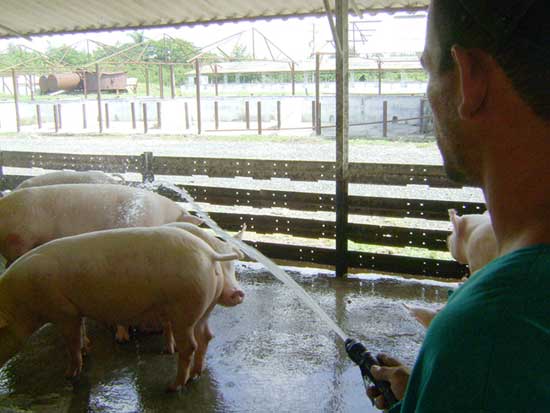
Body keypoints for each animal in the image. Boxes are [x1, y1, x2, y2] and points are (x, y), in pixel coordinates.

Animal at [0, 225, 246, 390]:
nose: (238, 294)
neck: (21, 302)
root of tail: (209, 254)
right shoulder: (75, 310)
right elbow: (81, 333)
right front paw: (87, 349)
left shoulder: (63, 311)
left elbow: (71, 343)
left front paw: (69, 375)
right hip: (204, 308)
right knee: (206, 336)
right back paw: (195, 375)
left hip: (184, 310)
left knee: (190, 346)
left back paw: (173, 386)